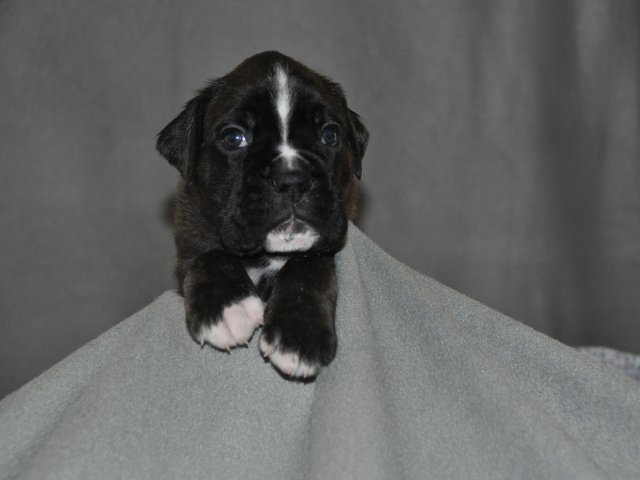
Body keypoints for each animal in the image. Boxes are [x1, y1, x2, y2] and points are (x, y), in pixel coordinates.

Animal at [156, 52, 368, 379]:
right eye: (234, 138)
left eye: (330, 135)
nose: (292, 178)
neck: (266, 257)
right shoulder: (191, 233)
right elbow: (207, 256)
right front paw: (227, 307)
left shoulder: (322, 247)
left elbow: (310, 265)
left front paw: (299, 332)